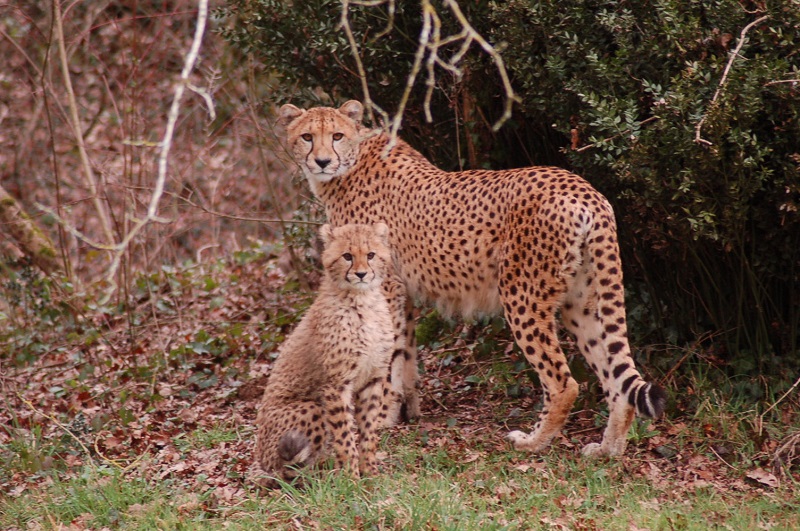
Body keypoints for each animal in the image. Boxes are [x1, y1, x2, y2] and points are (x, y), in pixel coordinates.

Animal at [252, 222, 398, 488]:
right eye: (347, 256)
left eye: (371, 254)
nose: (361, 274)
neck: (363, 301)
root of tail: (262, 462)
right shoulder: (335, 384)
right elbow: (345, 435)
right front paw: (351, 479)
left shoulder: (373, 378)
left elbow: (369, 431)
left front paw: (370, 473)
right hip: (309, 407)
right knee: (290, 472)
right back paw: (324, 476)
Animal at [278, 102, 664, 460]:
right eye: (307, 136)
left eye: (336, 136)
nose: (322, 161)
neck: (351, 162)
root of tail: (583, 188)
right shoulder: (401, 293)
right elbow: (404, 354)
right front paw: (403, 412)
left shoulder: (382, 287)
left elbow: (387, 358)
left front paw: (380, 417)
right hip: (582, 301)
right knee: (616, 379)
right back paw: (608, 449)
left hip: (522, 295)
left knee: (563, 382)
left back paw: (533, 442)